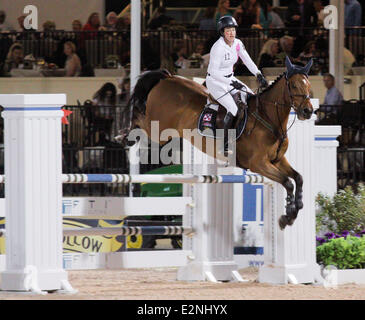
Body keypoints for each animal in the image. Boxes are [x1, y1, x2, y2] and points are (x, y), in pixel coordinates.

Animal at [122, 56, 312, 229]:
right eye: (294, 86)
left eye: (308, 85)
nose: (308, 111)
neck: (267, 118)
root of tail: (168, 77)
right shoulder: (258, 164)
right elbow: (287, 182)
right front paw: (288, 215)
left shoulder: (277, 160)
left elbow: (298, 178)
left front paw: (296, 208)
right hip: (159, 128)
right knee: (140, 117)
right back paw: (125, 136)